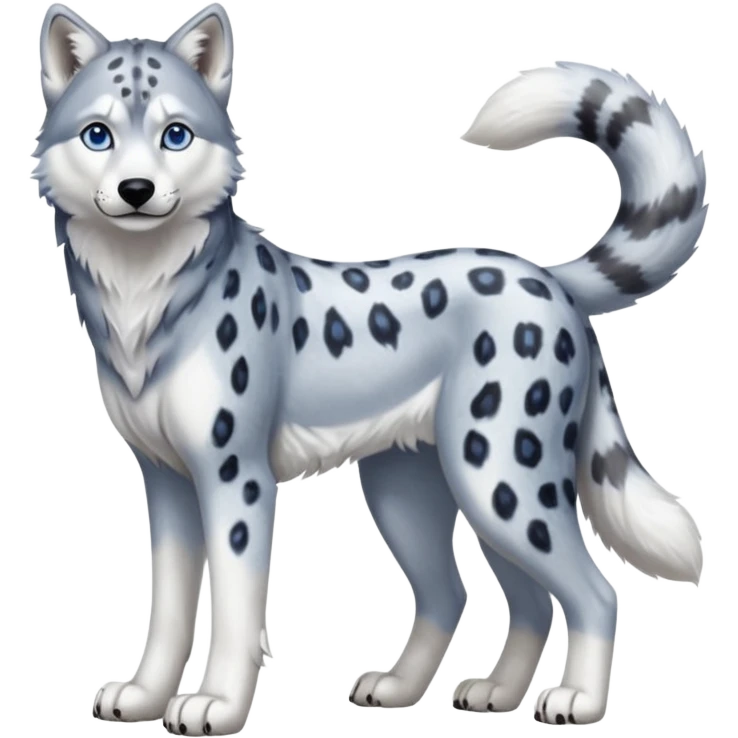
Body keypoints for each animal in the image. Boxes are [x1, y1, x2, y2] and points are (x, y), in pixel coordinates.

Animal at [34, 2, 708, 734]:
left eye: (176, 134)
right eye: (97, 135)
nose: (137, 190)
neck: (144, 295)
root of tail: (548, 278)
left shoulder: (235, 478)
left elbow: (237, 608)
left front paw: (217, 703)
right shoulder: (166, 480)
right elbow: (168, 608)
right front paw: (145, 695)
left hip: (501, 480)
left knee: (592, 591)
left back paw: (576, 700)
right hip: (425, 490)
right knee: (478, 594)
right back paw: (465, 692)